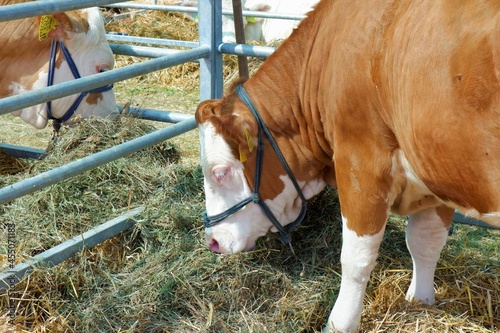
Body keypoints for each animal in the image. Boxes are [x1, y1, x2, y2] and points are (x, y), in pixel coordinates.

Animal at [194, 0, 500, 330]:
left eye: (220, 172)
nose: (213, 241)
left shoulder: (361, 162)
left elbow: (356, 259)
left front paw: (340, 323)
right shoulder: (435, 175)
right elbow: (425, 243)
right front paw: (420, 302)